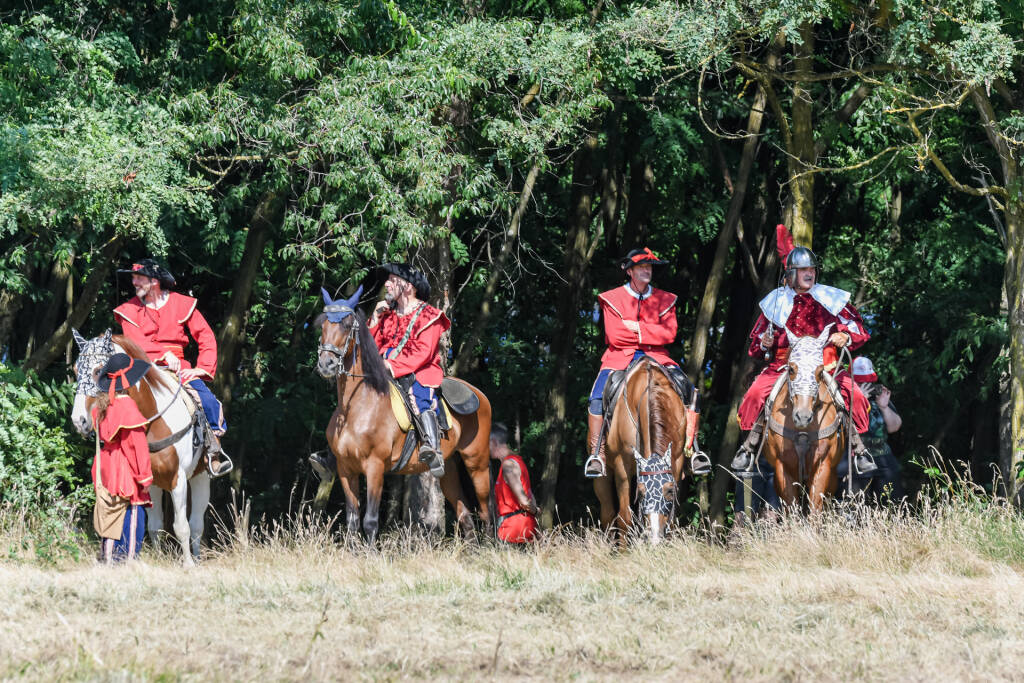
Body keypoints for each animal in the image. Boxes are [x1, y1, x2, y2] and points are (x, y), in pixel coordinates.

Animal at [70, 327, 209, 565]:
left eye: (99, 370)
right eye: (76, 369)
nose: (79, 420)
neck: (153, 419)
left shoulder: (178, 479)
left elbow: (181, 526)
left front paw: (188, 564)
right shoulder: (148, 482)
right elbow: (154, 526)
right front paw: (159, 558)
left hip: (202, 476)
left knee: (197, 524)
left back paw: (197, 558)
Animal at [311, 288, 491, 544]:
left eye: (346, 325)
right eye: (324, 325)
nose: (326, 364)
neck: (356, 407)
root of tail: (479, 394)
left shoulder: (375, 467)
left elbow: (370, 521)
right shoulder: (346, 470)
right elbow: (353, 521)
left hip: (477, 463)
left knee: (485, 510)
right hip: (448, 469)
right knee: (464, 514)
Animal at [593, 358, 688, 544]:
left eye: (670, 491)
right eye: (642, 492)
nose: (655, 537)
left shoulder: (677, 461)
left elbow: (672, 518)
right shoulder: (622, 468)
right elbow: (624, 518)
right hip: (602, 476)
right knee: (608, 514)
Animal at [761, 325, 847, 511]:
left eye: (820, 371)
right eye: (791, 369)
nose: (803, 416)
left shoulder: (822, 465)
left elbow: (815, 508)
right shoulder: (782, 467)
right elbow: (791, 507)